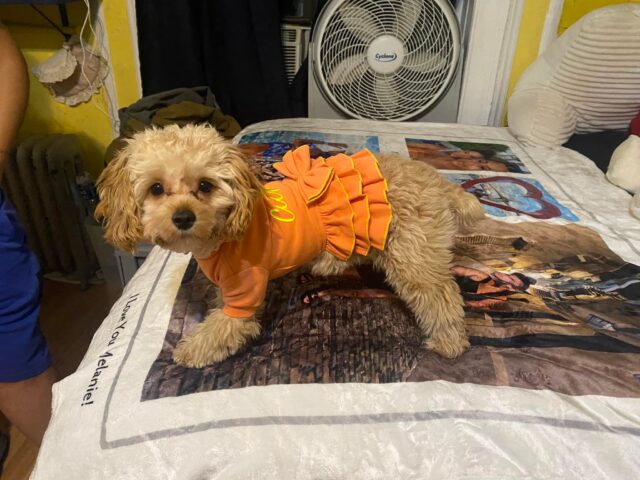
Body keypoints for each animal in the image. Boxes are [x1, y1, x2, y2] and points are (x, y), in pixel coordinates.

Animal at [96, 124, 484, 368]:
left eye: (205, 185)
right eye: (156, 189)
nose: (183, 218)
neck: (225, 229)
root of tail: (438, 181)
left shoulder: (245, 294)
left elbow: (225, 328)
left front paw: (191, 351)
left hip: (414, 258)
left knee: (441, 297)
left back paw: (449, 343)